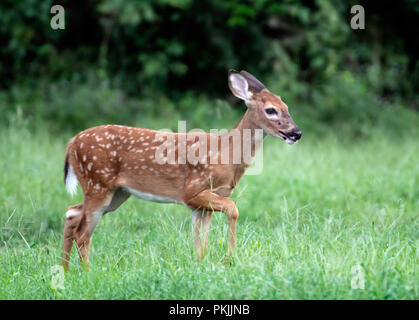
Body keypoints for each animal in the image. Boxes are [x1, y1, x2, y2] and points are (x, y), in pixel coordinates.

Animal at [60, 70, 300, 270]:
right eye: (271, 110)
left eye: (287, 107)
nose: (296, 133)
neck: (227, 153)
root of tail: (71, 143)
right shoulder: (192, 190)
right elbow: (233, 209)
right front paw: (230, 258)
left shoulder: (203, 203)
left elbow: (201, 240)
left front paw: (203, 264)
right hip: (98, 183)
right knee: (82, 233)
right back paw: (87, 273)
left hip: (117, 193)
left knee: (72, 214)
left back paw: (65, 271)